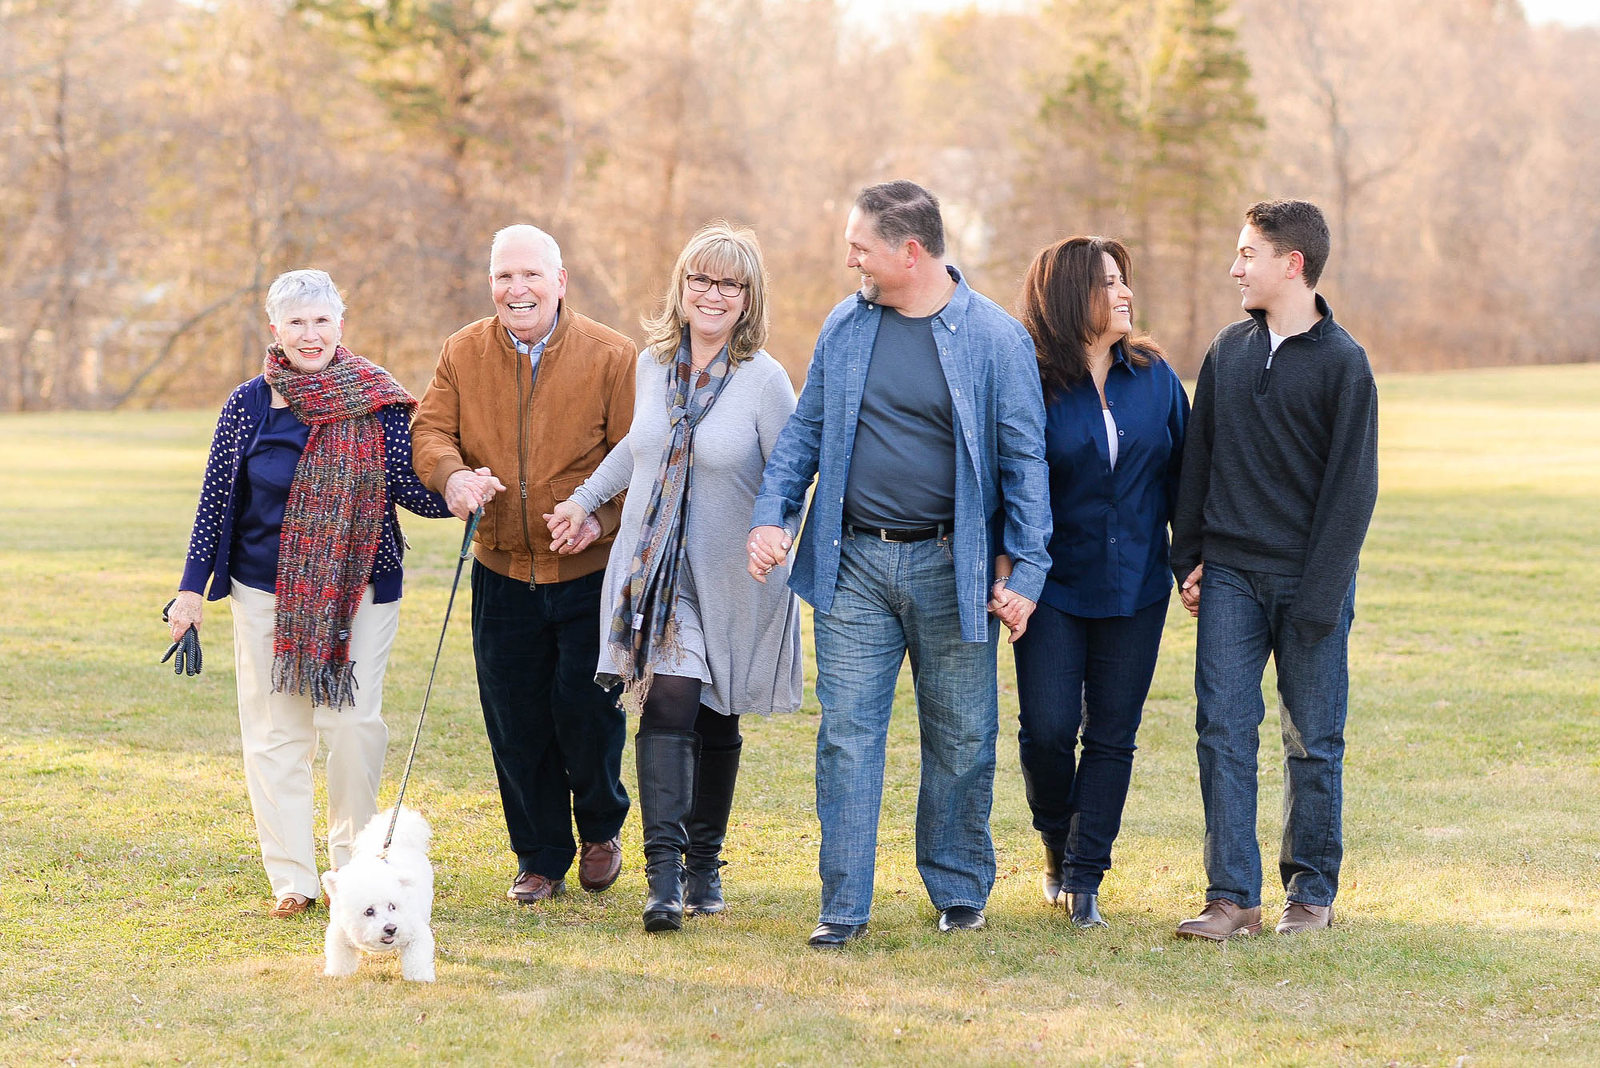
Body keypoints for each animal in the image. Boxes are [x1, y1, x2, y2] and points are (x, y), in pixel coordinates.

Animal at [320, 805, 435, 978]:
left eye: (392, 906)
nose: (391, 928)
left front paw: (420, 977)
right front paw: (337, 974)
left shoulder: (416, 932)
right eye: (369, 911)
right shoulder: (340, 932)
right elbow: (340, 956)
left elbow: (418, 957)